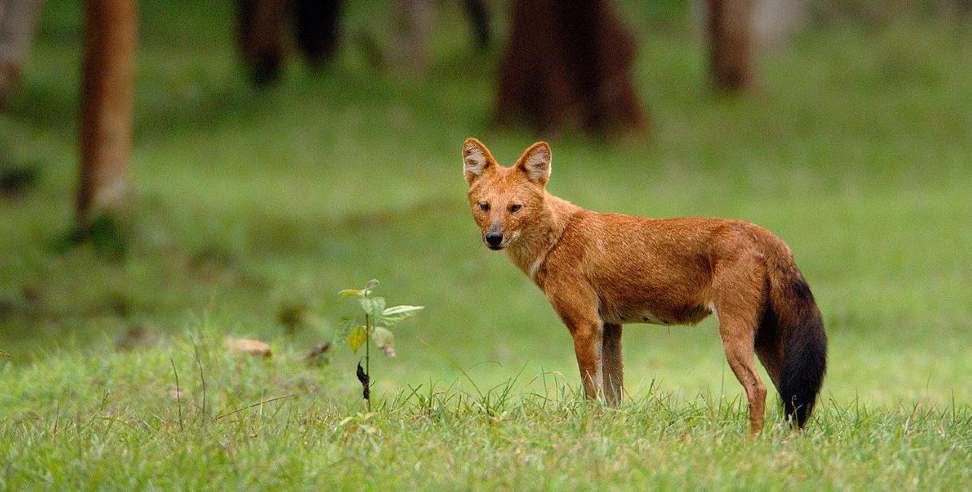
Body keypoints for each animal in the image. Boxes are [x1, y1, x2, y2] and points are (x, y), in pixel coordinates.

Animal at [464, 137, 828, 430]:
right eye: (484, 207)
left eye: (515, 208)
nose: (493, 238)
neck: (558, 237)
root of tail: (761, 232)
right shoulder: (610, 327)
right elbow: (613, 395)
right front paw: (610, 434)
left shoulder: (586, 325)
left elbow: (592, 393)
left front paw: (590, 431)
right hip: (767, 340)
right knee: (794, 395)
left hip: (735, 335)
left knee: (759, 389)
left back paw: (752, 443)